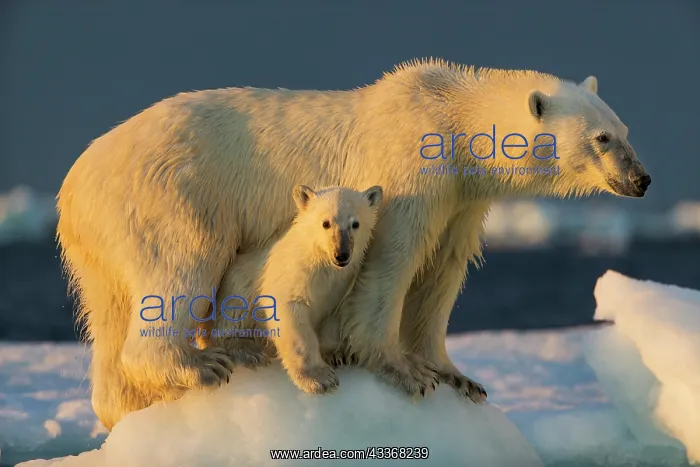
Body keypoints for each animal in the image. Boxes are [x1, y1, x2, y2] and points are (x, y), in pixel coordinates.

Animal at [202, 184, 384, 395]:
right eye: (326, 223)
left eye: (355, 224)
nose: (341, 254)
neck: (320, 264)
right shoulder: (291, 273)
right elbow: (290, 315)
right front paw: (320, 379)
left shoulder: (339, 286)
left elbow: (332, 318)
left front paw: (337, 355)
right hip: (236, 283)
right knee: (233, 309)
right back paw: (248, 349)